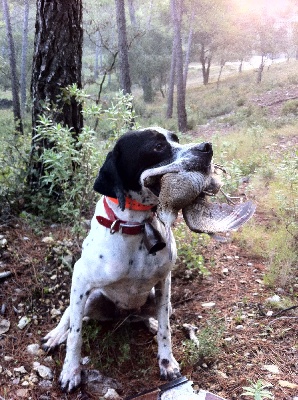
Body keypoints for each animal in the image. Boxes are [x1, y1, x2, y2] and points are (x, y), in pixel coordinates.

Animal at [42, 127, 214, 390]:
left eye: (175, 138)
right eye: (157, 146)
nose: (207, 147)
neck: (137, 226)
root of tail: (125, 315)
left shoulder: (164, 281)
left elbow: (165, 328)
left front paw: (166, 362)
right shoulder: (80, 279)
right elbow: (75, 334)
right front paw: (71, 371)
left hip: (159, 300)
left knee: (154, 315)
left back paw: (149, 322)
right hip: (91, 298)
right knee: (70, 316)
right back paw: (55, 334)